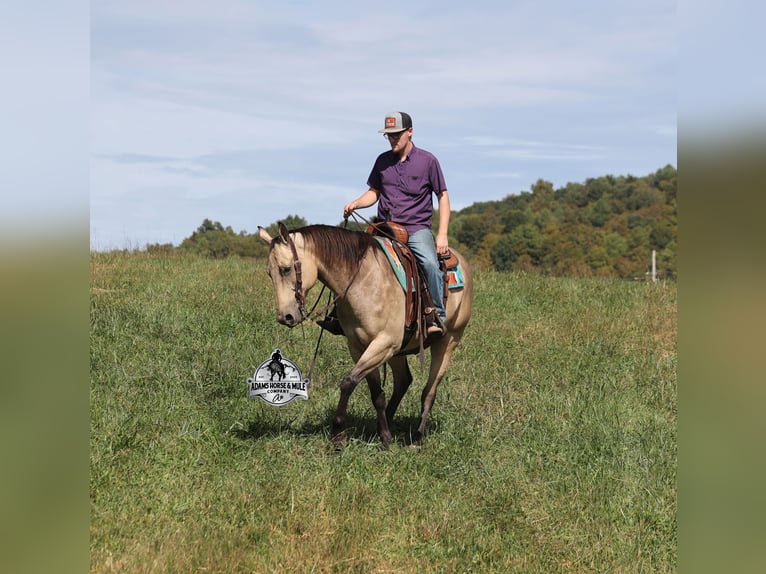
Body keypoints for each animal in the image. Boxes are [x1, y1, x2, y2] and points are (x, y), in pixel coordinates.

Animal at [257, 223, 473, 447]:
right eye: (269, 273)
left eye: (286, 269)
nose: (285, 317)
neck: (364, 281)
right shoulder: (359, 346)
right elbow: (376, 394)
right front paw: (384, 436)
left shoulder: (384, 344)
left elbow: (348, 382)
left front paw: (337, 434)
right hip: (399, 350)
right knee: (403, 380)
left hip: (448, 341)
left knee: (429, 391)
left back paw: (417, 437)